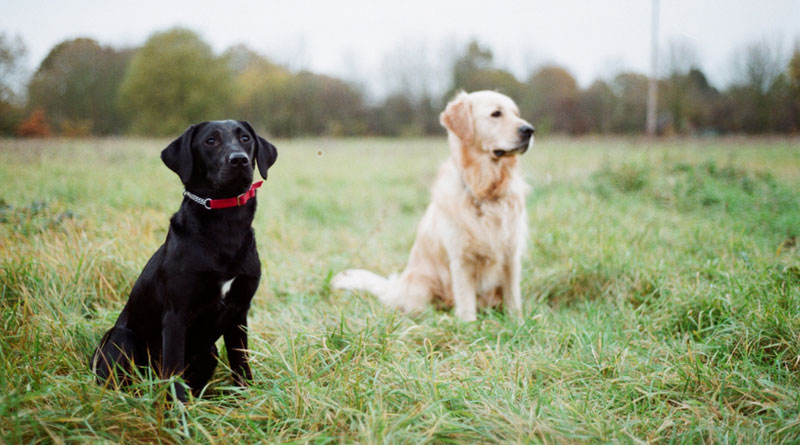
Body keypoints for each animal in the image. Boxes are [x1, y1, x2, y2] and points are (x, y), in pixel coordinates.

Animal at [90, 119, 276, 400]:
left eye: (245, 139)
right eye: (210, 141)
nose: (239, 160)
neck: (226, 226)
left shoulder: (239, 311)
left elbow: (241, 364)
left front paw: (246, 400)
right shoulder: (176, 314)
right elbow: (174, 371)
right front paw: (178, 410)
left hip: (209, 351)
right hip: (121, 339)